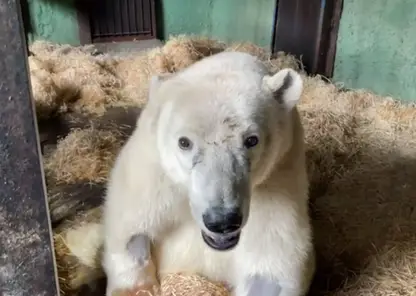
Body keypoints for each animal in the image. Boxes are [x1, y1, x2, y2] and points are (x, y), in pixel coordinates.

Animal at [101, 51, 316, 296]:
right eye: (184, 142)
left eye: (252, 140)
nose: (222, 221)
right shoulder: (154, 170)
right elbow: (130, 229)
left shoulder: (280, 178)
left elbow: (272, 268)